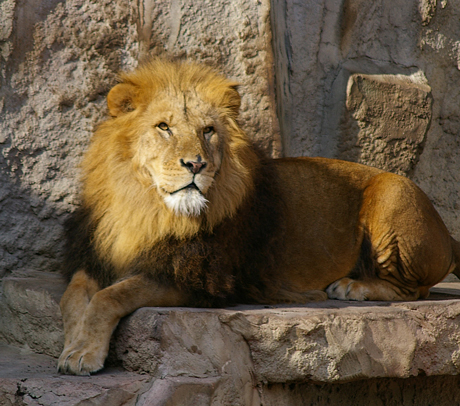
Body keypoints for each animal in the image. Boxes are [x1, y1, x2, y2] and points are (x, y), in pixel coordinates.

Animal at [57, 58, 460, 376]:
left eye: (208, 130)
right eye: (163, 127)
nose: (196, 165)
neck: (146, 206)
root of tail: (449, 236)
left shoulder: (200, 279)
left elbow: (111, 296)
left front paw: (83, 352)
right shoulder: (99, 255)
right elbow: (74, 295)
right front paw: (73, 343)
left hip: (395, 192)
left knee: (414, 290)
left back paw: (351, 286)